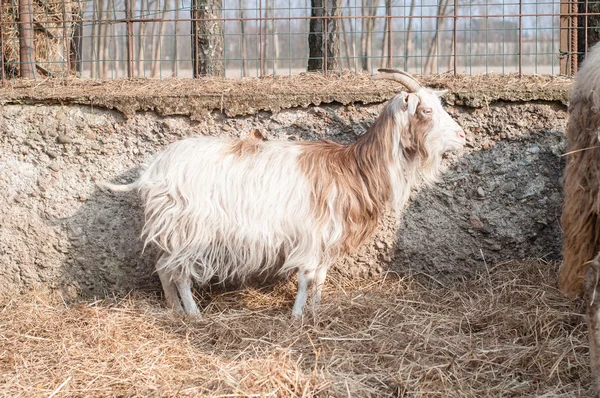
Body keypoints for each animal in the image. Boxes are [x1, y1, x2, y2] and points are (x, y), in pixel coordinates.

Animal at [98, 69, 466, 318]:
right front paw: (297, 316)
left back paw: (175, 310)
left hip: (174, 229)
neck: (352, 168)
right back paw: (194, 313)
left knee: (163, 266)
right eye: (426, 110)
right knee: (179, 272)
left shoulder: (327, 237)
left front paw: (315, 311)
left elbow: (321, 277)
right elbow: (306, 277)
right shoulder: (311, 234)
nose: (462, 137)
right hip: (190, 229)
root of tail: (153, 170)